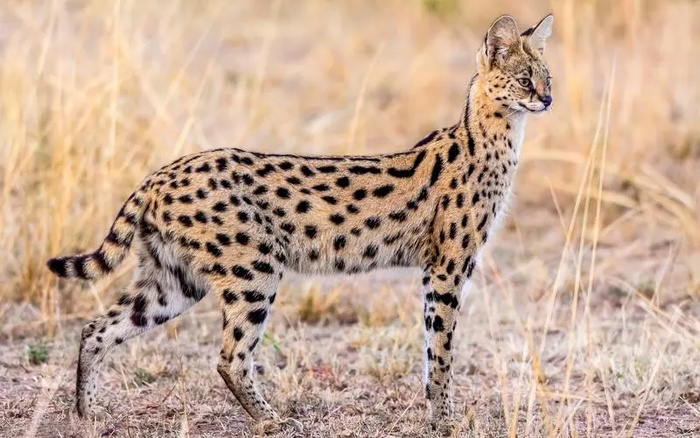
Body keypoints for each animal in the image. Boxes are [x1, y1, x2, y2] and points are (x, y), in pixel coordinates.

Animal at [47, 13, 552, 434]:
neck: (494, 137)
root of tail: (161, 173)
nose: (547, 99)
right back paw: (272, 421)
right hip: (253, 270)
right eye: (525, 80)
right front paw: (444, 421)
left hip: (175, 280)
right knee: (230, 357)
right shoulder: (448, 266)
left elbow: (434, 351)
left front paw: (438, 415)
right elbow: (442, 351)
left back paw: (87, 414)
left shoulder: (441, 269)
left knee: (97, 328)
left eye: (548, 78)